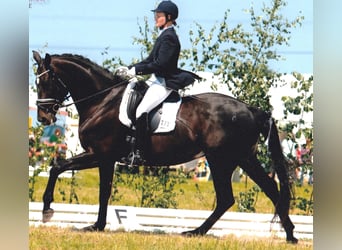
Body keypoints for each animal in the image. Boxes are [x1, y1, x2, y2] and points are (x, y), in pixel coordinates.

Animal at [32, 50, 298, 244]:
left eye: (46, 80)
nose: (43, 118)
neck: (102, 101)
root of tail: (251, 110)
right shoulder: (101, 157)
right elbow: (74, 175)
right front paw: (88, 223)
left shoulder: (101, 155)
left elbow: (75, 176)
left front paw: (54, 213)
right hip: (241, 159)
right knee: (264, 191)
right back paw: (289, 234)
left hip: (222, 160)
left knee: (230, 197)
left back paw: (196, 232)